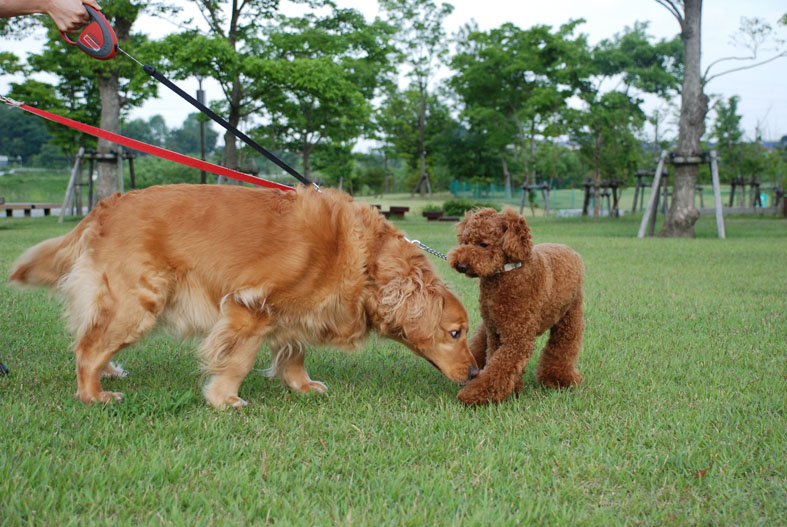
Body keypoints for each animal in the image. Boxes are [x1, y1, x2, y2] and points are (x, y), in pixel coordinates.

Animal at [10, 186, 480, 408]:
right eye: (455, 333)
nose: (477, 372)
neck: (367, 263)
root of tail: (106, 206)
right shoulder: (249, 307)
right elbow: (238, 359)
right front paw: (225, 398)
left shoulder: (294, 314)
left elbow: (293, 354)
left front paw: (301, 385)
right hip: (138, 303)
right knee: (87, 348)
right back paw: (93, 393)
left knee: (89, 338)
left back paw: (108, 373)